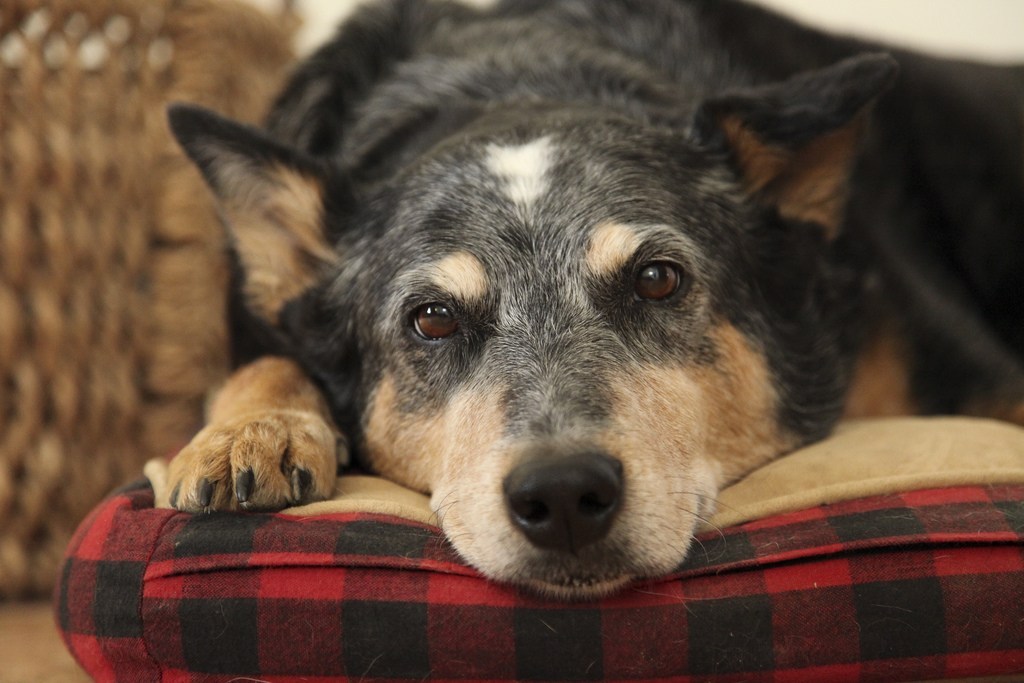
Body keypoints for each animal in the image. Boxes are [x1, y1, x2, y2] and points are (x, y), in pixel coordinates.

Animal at [159, 0, 1024, 598]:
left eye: (657, 278)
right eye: (432, 318)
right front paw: (248, 433)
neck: (514, 69)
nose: (564, 493)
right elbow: (264, 362)